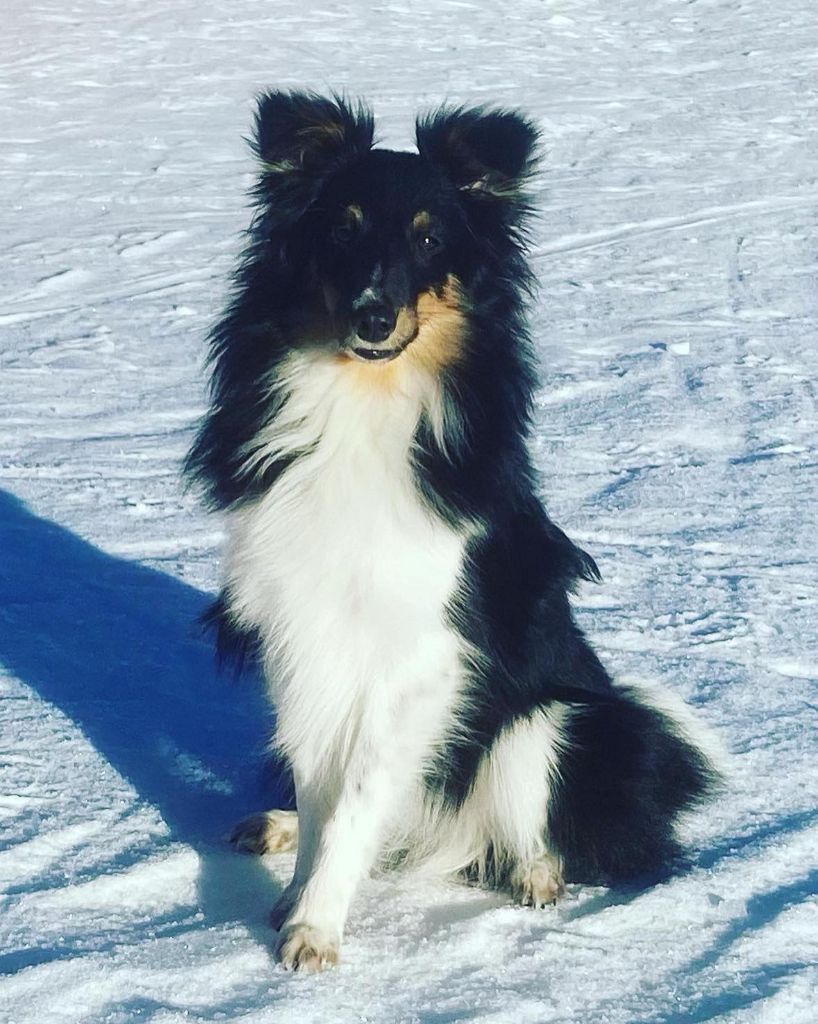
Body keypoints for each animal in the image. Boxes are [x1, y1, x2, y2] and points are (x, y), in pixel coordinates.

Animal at [185, 91, 723, 972]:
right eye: (343, 230)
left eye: (430, 237)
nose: (373, 318)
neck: (363, 397)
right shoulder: (301, 623)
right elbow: (319, 775)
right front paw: (298, 892)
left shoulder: (424, 650)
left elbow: (358, 791)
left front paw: (315, 927)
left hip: (561, 719)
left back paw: (538, 873)